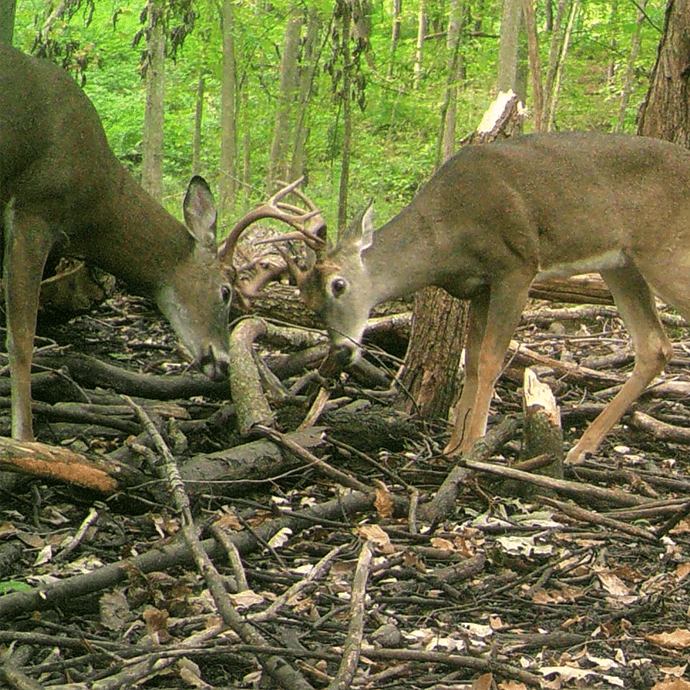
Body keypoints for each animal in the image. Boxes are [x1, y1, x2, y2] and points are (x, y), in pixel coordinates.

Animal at [227, 132, 690, 465]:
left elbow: (489, 359)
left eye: (339, 285)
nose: (341, 352)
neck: (446, 237)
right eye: (306, 302)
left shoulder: (515, 265)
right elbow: (470, 361)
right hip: (621, 263)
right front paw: (454, 444)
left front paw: (474, 447)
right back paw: (580, 450)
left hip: (664, 252)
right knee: (655, 346)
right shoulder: (477, 285)